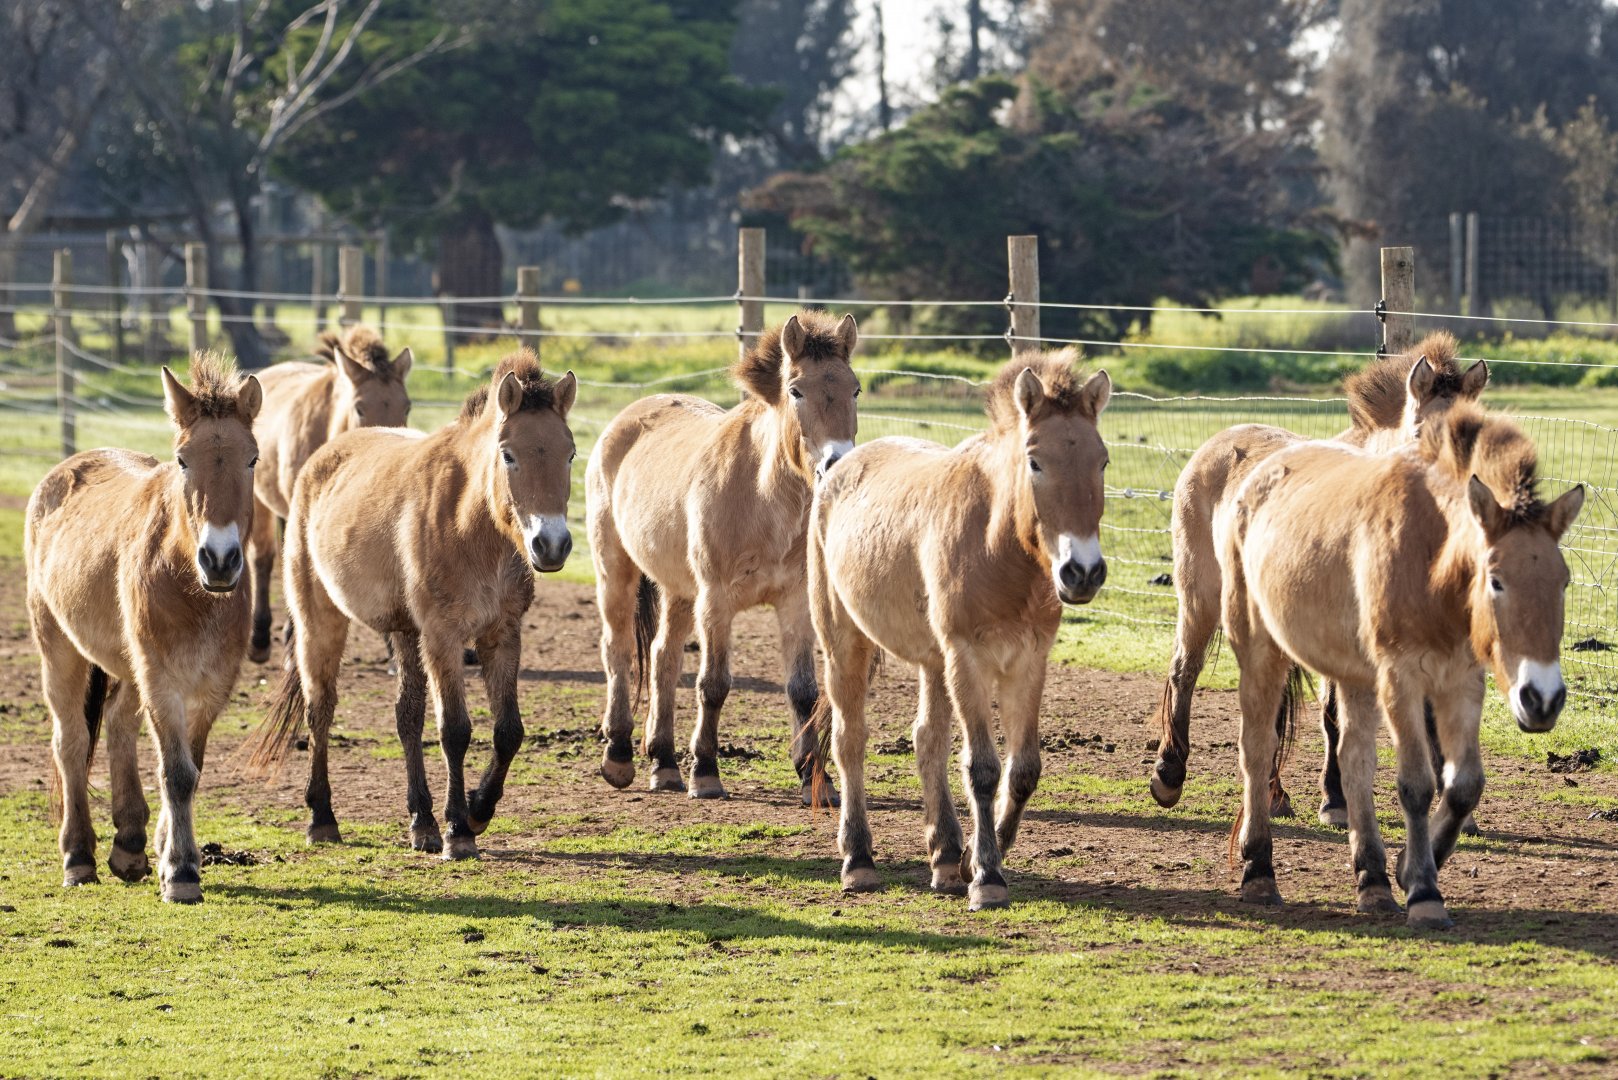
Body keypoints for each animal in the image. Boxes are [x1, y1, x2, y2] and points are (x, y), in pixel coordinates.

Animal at [25, 355, 262, 902]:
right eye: (182, 460)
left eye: (253, 459)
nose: (220, 559)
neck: (190, 584)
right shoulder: (161, 679)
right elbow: (176, 772)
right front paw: (181, 871)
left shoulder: (212, 686)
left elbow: (191, 768)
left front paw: (167, 851)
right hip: (60, 649)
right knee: (71, 741)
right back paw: (78, 856)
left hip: (128, 665)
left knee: (117, 724)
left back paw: (130, 845)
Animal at [587, 310, 859, 804]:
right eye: (796, 390)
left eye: (855, 389)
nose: (837, 464)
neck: (761, 493)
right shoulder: (716, 601)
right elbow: (713, 685)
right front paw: (707, 773)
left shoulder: (795, 602)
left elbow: (803, 691)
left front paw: (816, 778)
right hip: (615, 570)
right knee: (618, 650)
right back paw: (618, 757)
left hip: (677, 589)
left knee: (663, 656)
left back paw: (664, 763)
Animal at [808, 350, 1112, 910]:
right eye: (1035, 461)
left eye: (1101, 461)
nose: (1081, 572)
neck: (997, 543)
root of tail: (839, 467)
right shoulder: (967, 657)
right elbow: (983, 767)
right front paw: (987, 876)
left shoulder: (1028, 660)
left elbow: (1023, 768)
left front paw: (973, 858)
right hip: (845, 643)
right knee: (849, 739)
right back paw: (858, 860)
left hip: (933, 661)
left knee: (927, 739)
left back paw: (946, 857)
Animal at [1147, 334, 1489, 822]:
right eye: (1420, 436)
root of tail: (1215, 445)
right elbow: (1332, 714)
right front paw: (1336, 799)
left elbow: (1427, 715)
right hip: (1201, 595)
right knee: (1184, 670)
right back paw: (1168, 775)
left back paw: (1272, 794)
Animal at [1219, 402, 1582, 927]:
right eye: (1496, 580)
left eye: (1563, 580)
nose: (1543, 699)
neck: (1429, 558)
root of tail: (1260, 469)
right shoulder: (1401, 677)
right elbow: (1416, 785)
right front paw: (1425, 893)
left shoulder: (1461, 681)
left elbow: (1463, 785)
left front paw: (1407, 870)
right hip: (1260, 648)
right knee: (1257, 749)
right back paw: (1259, 873)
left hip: (1352, 675)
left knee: (1353, 760)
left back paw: (1372, 882)